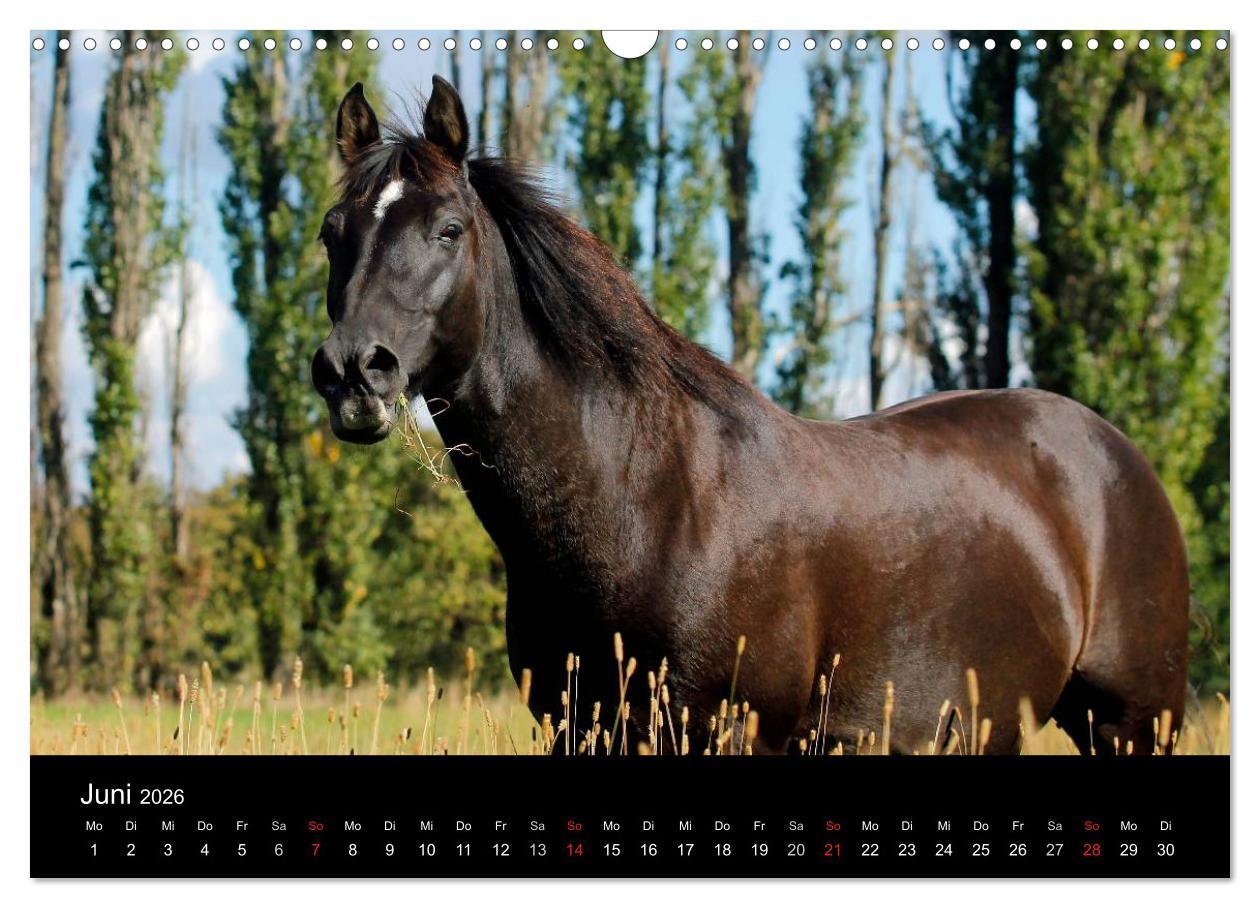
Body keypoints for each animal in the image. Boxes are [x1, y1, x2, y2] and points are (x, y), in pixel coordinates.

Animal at [311, 76, 1189, 755]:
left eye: (449, 229)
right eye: (331, 232)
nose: (354, 371)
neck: (642, 501)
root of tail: (1114, 454)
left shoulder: (722, 730)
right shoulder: (577, 726)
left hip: (1134, 724)